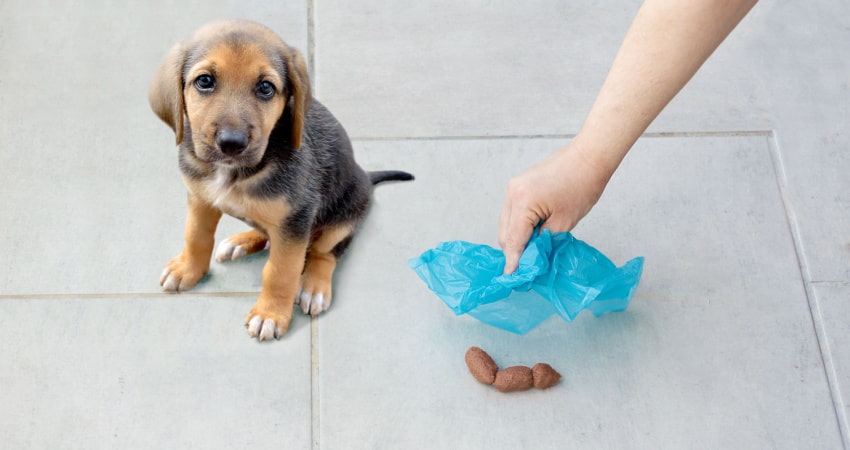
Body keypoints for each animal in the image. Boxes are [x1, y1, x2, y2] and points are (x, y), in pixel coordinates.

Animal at [147, 19, 412, 340]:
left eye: (265, 87)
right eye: (204, 81)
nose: (231, 143)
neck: (234, 173)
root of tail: (365, 175)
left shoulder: (296, 219)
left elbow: (280, 272)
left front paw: (270, 314)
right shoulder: (200, 199)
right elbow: (196, 237)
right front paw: (187, 269)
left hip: (344, 215)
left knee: (325, 252)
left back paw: (313, 286)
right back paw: (241, 241)